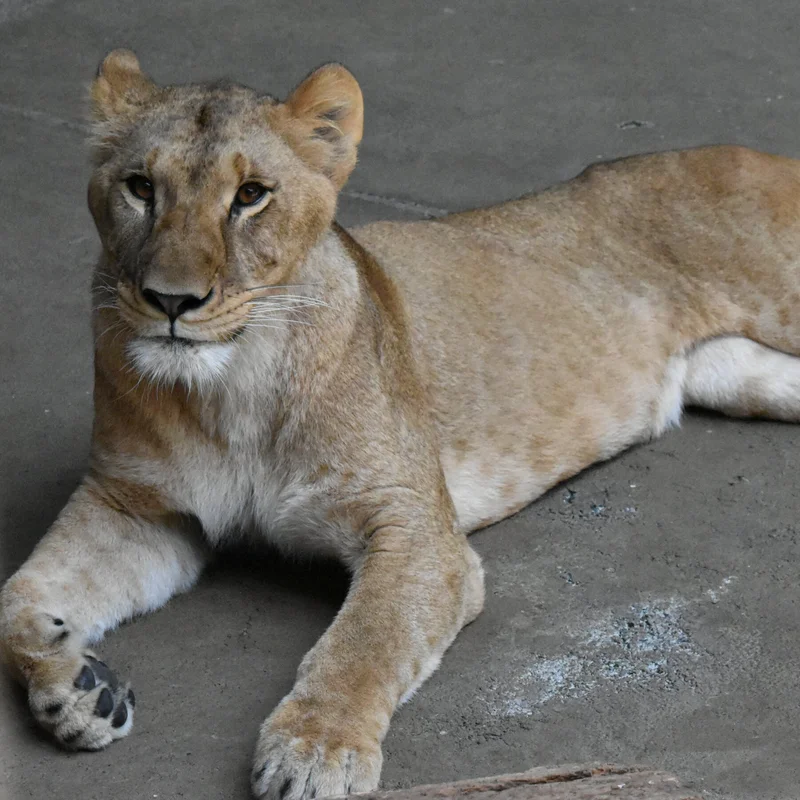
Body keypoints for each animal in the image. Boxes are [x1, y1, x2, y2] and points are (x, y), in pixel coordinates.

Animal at [2, 49, 800, 799]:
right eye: (141, 186)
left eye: (251, 196)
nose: (172, 300)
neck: (230, 389)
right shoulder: (135, 506)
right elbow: (16, 598)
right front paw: (78, 691)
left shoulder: (413, 525)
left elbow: (364, 642)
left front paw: (315, 752)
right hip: (744, 375)